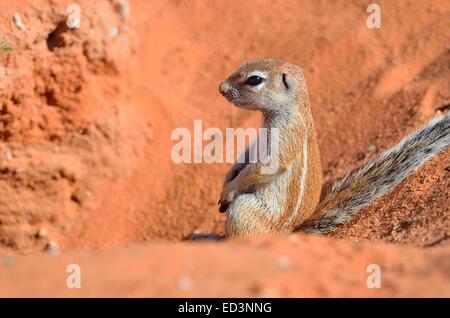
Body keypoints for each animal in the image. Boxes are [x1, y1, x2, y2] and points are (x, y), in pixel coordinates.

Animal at [218, 59, 450, 237]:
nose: (221, 88)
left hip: (245, 211)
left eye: (254, 79)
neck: (291, 109)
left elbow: (266, 166)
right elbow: (245, 159)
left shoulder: (285, 134)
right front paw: (227, 180)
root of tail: (288, 234)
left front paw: (229, 189)